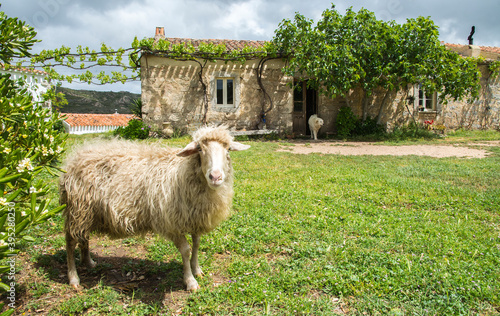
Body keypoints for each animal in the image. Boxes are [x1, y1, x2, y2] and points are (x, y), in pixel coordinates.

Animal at [59, 125, 250, 292]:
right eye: (200, 149)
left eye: (228, 149)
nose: (215, 177)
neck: (184, 173)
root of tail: (76, 157)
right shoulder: (172, 223)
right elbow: (186, 250)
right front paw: (190, 281)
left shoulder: (195, 218)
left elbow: (196, 245)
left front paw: (197, 270)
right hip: (78, 209)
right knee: (70, 242)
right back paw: (73, 278)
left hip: (87, 213)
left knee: (83, 237)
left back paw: (88, 262)